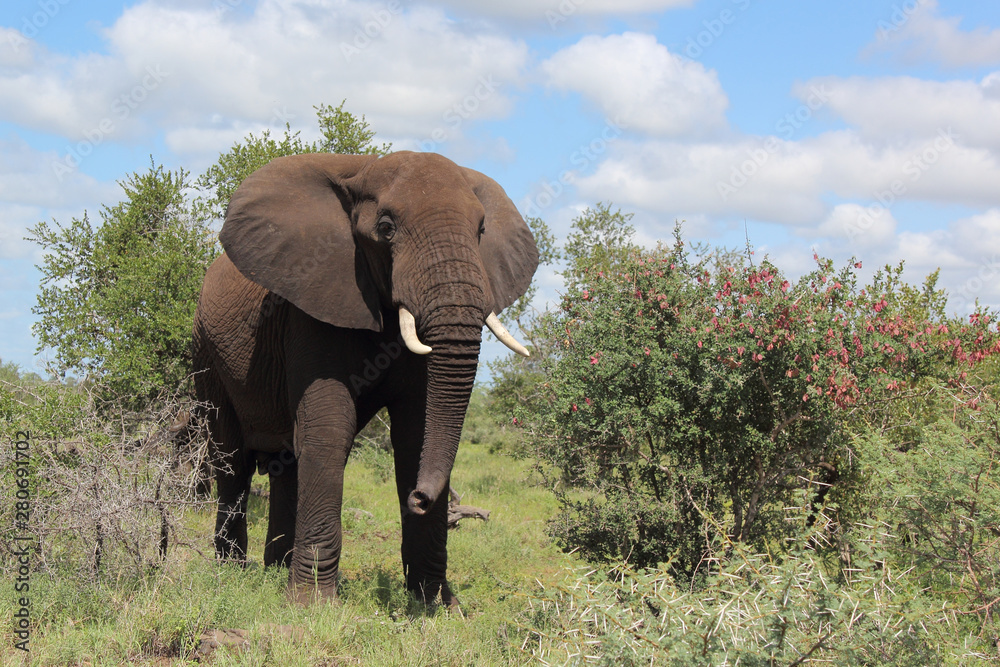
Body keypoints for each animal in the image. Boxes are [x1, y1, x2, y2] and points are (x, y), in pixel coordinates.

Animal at [192, 150, 538, 606]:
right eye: (386, 229)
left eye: (481, 230)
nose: (421, 499)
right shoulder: (313, 303)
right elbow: (329, 427)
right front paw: (312, 606)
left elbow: (416, 434)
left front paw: (435, 604)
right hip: (206, 353)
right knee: (232, 462)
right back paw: (230, 571)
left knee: (287, 463)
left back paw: (276, 570)